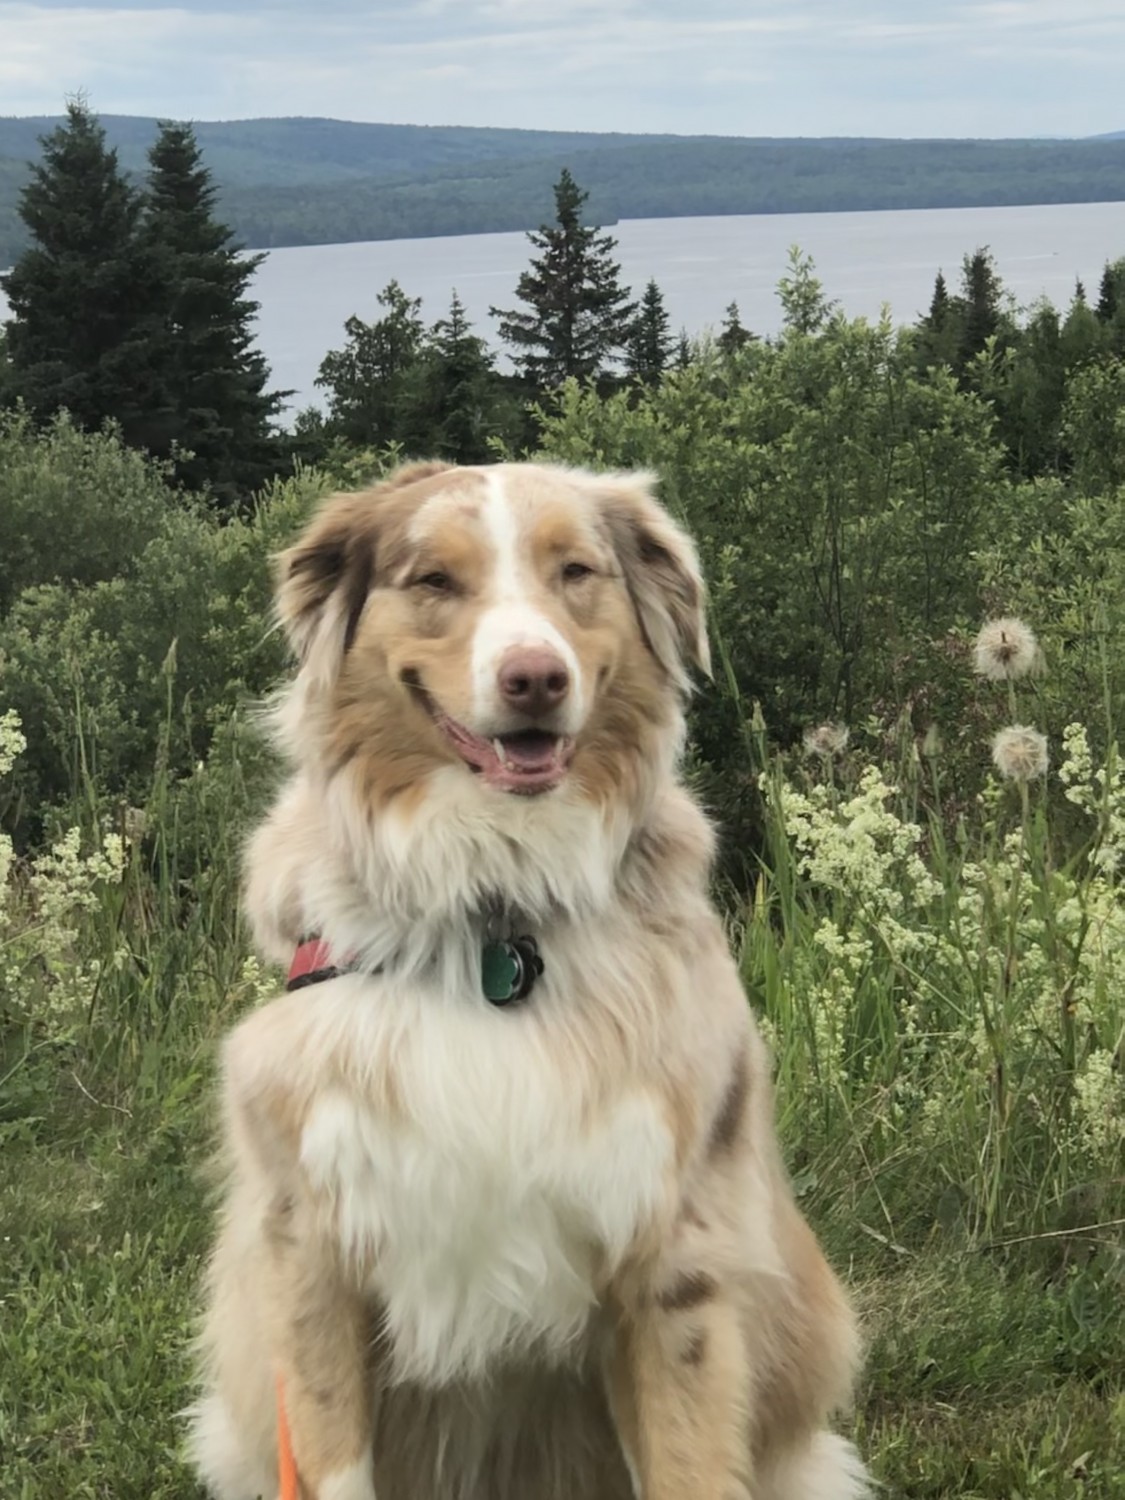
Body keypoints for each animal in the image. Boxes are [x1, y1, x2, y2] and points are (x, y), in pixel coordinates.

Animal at [187, 459, 870, 1500]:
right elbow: (335, 1457)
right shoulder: (309, 1248)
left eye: (575, 571)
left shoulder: (672, 1259)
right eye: (434, 580)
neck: (494, 919)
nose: (535, 678)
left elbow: (687, 1463)